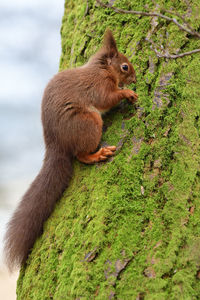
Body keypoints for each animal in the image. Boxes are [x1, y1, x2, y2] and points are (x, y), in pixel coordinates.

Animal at [3, 29, 138, 270]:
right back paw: (97, 154)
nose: (134, 78)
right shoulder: (99, 86)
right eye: (125, 67)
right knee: (81, 155)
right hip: (89, 122)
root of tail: (56, 145)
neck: (102, 69)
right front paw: (127, 93)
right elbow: (108, 98)